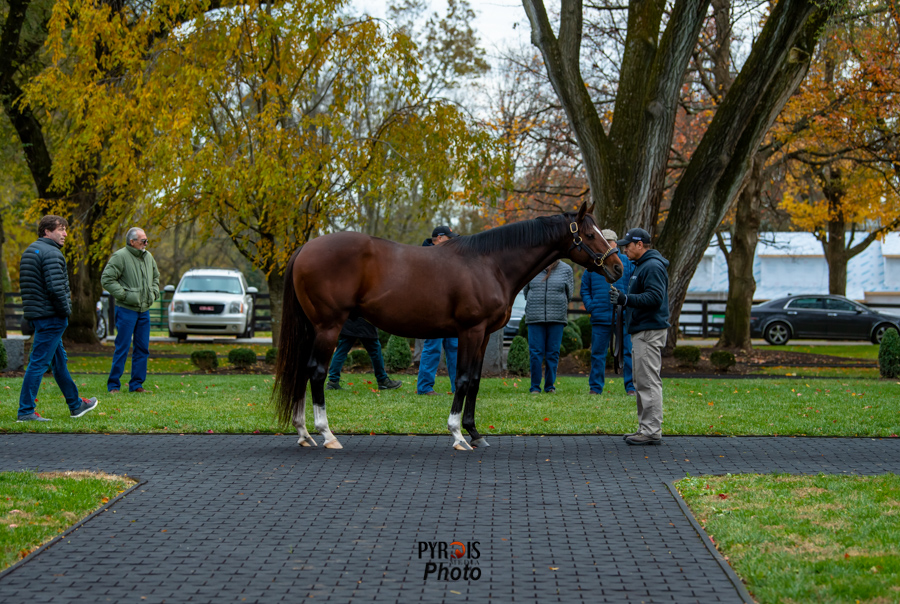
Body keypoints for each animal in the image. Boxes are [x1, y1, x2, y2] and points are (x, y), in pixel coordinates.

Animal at [274, 202, 624, 448]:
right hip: (328, 326)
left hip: (313, 328)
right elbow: (464, 378)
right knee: (317, 372)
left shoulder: (484, 335)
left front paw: (475, 432)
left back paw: (304, 432)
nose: (618, 268)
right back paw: (327, 434)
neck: (490, 263)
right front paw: (457, 435)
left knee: (303, 369)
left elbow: (476, 381)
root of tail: (305, 248)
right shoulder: (471, 330)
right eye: (589, 235)